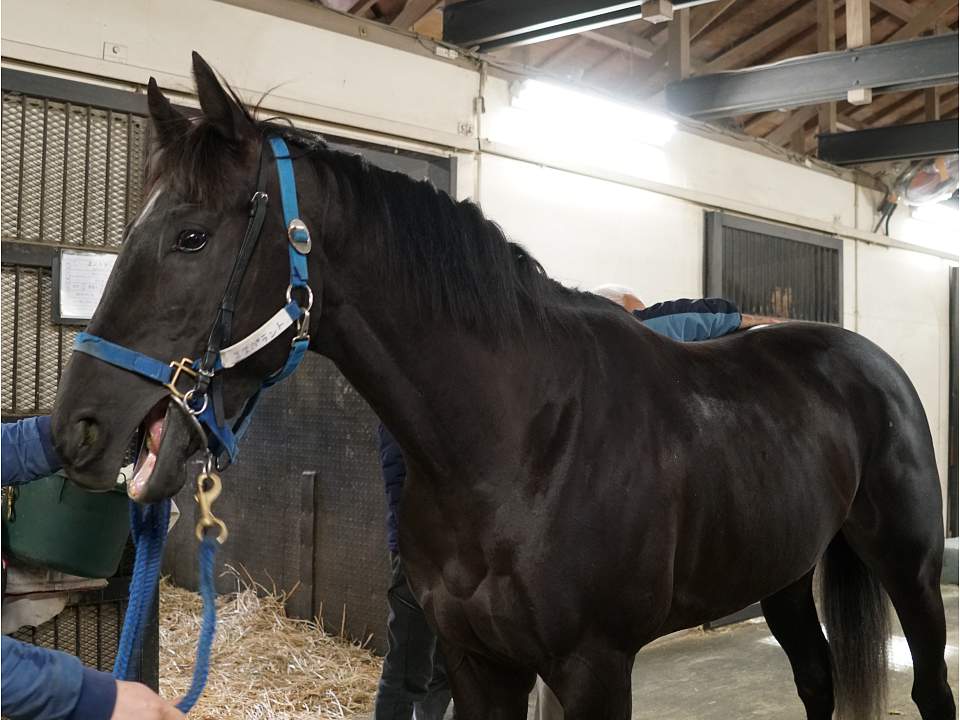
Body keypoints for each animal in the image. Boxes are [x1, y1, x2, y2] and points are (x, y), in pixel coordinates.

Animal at [51, 53, 955, 720]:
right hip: (784, 573)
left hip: (909, 568)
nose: (77, 430)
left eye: (191, 238)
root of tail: (866, 360)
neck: (518, 444)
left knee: (929, 684)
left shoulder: (595, 668)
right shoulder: (479, 661)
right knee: (816, 677)